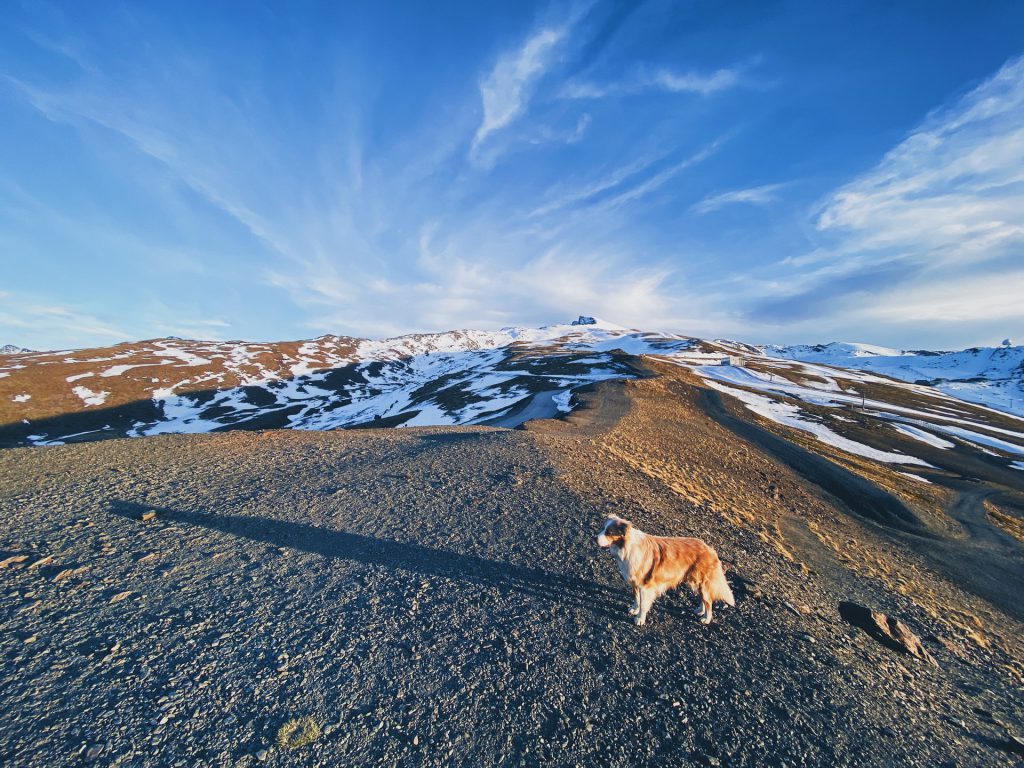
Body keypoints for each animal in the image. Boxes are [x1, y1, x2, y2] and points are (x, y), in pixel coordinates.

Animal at [598, 518, 733, 626]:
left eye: (609, 532)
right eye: (603, 528)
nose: (594, 538)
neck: (627, 547)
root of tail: (710, 550)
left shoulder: (646, 586)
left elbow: (643, 604)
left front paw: (640, 619)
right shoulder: (634, 582)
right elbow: (636, 598)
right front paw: (634, 609)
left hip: (702, 582)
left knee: (709, 601)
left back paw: (706, 619)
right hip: (695, 582)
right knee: (703, 599)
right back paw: (700, 611)